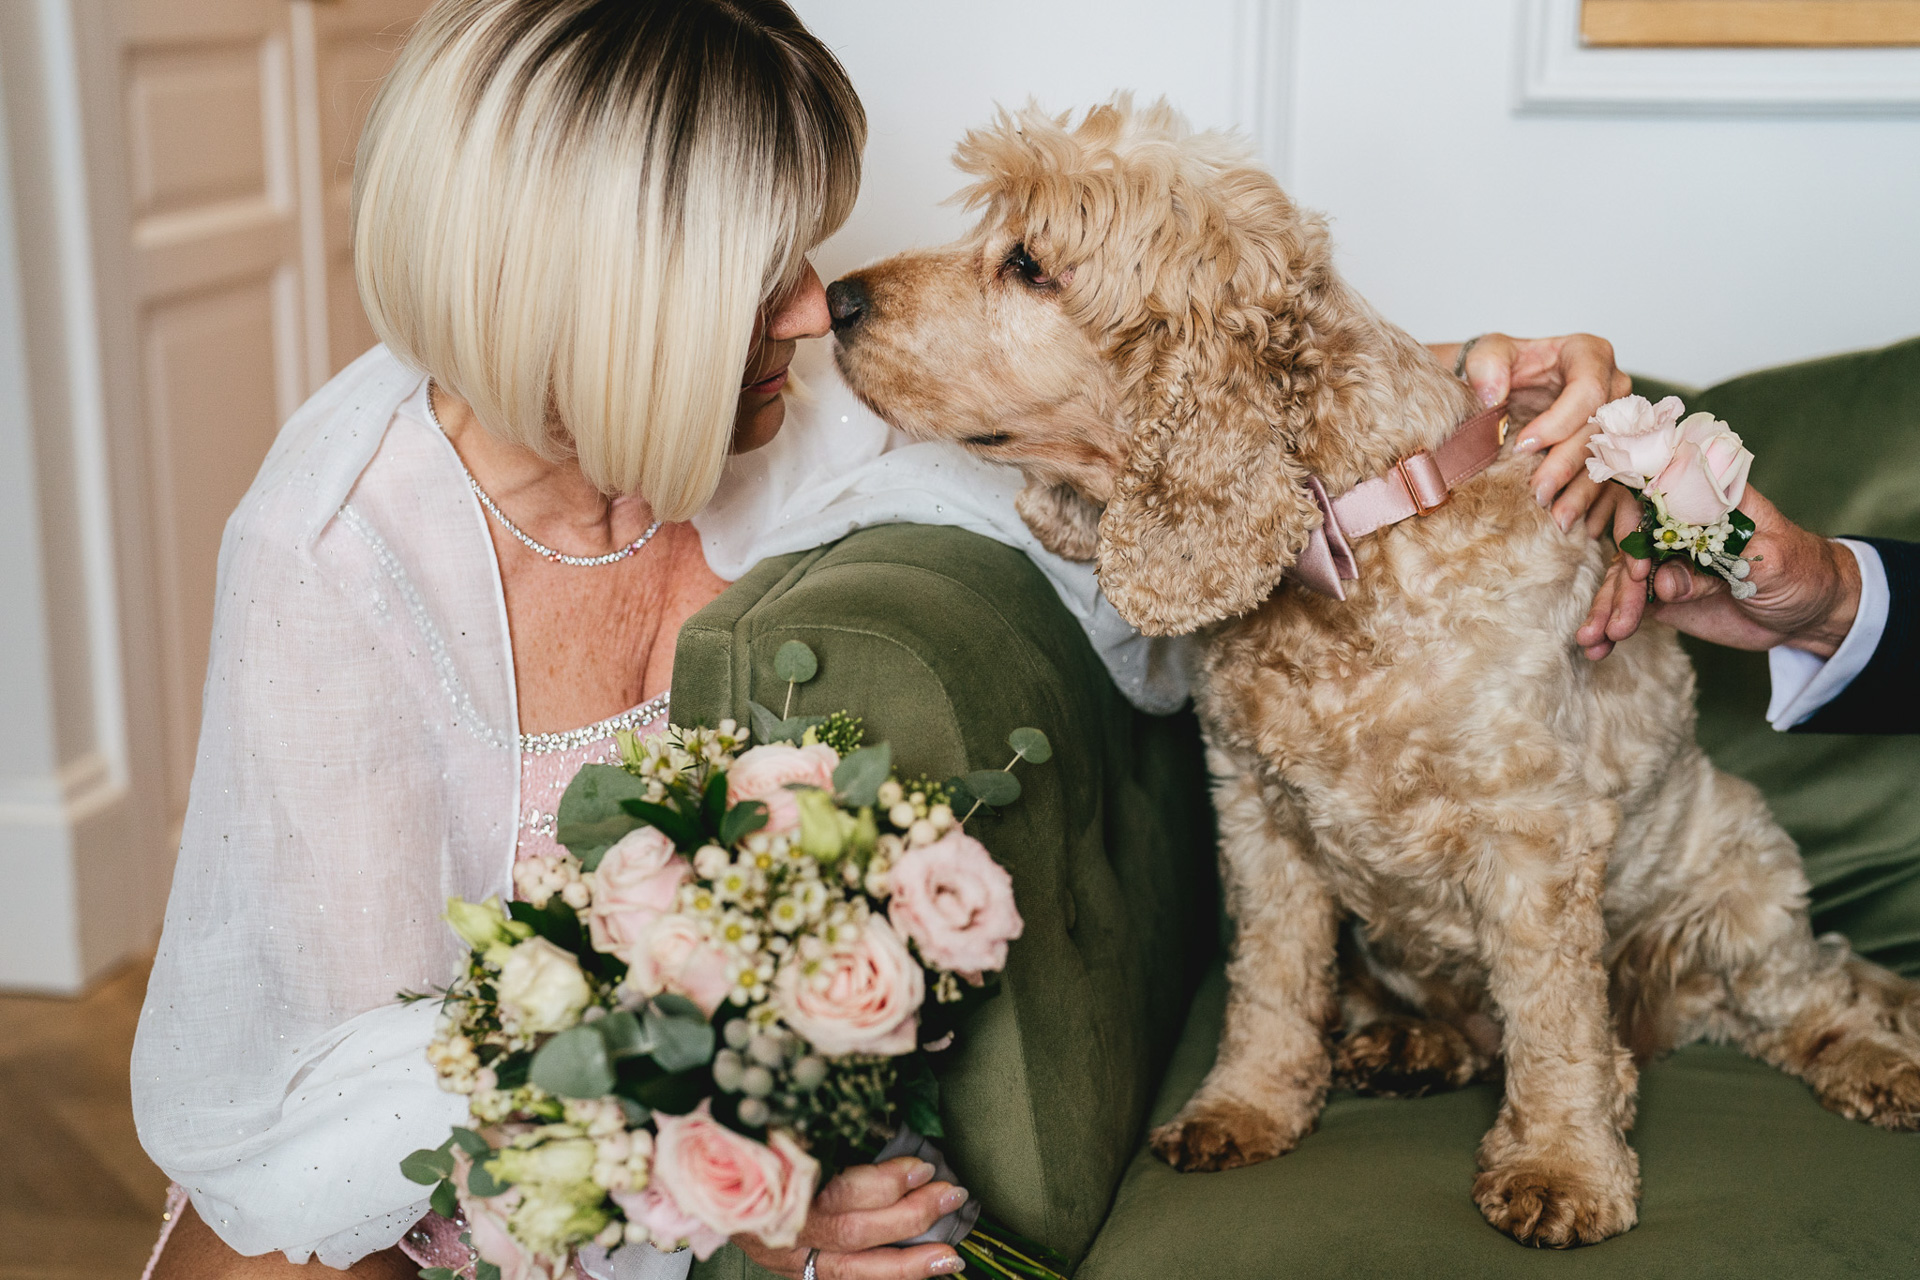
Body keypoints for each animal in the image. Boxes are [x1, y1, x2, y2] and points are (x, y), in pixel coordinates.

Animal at [829, 102, 1920, 1251]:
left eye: (1030, 263)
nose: (836, 300)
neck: (1352, 544)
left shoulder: (1532, 831)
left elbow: (1554, 1015)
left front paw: (1563, 1162)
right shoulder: (1258, 814)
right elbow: (1270, 979)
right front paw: (1247, 1104)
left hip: (1742, 877)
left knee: (1807, 994)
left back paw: (1875, 1063)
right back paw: (1407, 1044)